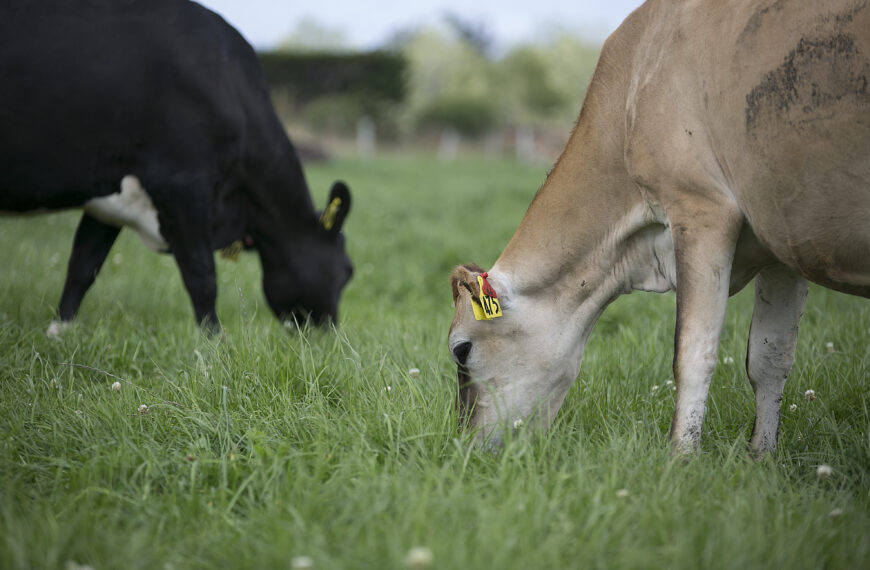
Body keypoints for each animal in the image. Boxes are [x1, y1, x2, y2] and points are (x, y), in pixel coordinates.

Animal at [0, 0, 354, 330]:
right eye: (347, 271)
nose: (329, 336)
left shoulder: (109, 194)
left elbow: (83, 266)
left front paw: (59, 333)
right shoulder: (183, 185)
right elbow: (202, 277)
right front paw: (214, 344)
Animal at [450, 0, 870, 452]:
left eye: (461, 350)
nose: (464, 447)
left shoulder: (700, 208)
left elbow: (692, 353)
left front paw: (681, 457)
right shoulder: (780, 239)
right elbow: (769, 355)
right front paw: (762, 455)